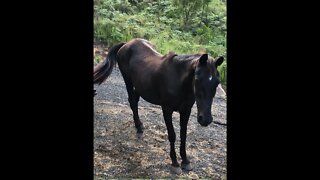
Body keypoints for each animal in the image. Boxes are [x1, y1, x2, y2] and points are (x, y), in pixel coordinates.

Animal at [94, 38, 224, 174]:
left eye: (217, 82)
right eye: (198, 78)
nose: (206, 120)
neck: (178, 80)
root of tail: (127, 43)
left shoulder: (186, 110)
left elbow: (183, 135)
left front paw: (185, 161)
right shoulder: (167, 110)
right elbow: (172, 135)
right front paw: (175, 163)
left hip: (140, 86)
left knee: (135, 100)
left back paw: (140, 126)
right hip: (127, 80)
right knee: (132, 102)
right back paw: (138, 129)